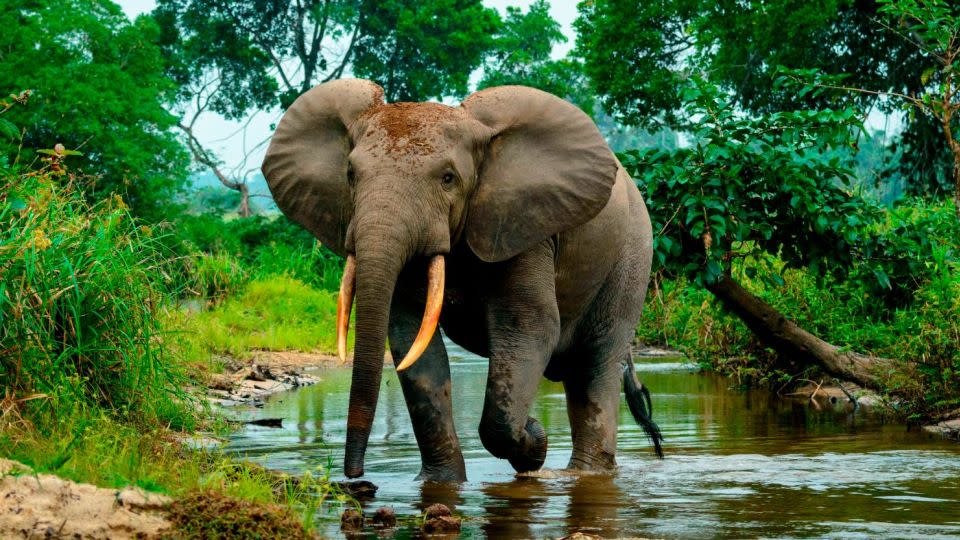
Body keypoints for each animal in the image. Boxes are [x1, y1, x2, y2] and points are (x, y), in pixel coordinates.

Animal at [260, 78, 660, 484]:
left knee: (597, 362)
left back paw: (585, 475)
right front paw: (440, 483)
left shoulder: (524, 226)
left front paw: (533, 441)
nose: (355, 477)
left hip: (632, 258)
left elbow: (529, 327)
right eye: (351, 175)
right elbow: (412, 342)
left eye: (448, 179)